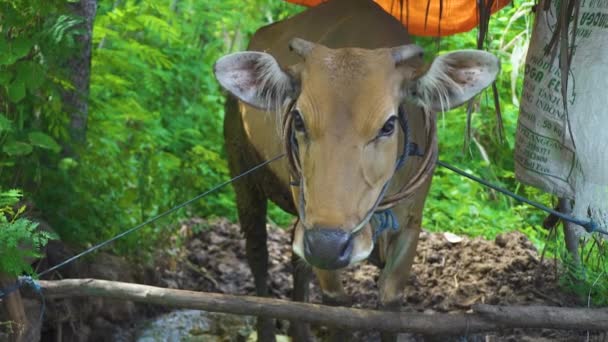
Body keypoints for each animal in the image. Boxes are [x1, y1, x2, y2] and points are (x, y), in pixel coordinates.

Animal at [214, 0, 498, 340]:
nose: (328, 244)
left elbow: (389, 304)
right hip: (244, 178)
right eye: (298, 120)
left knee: (296, 262)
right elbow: (338, 308)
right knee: (258, 253)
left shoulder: (410, 225)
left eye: (388, 125)